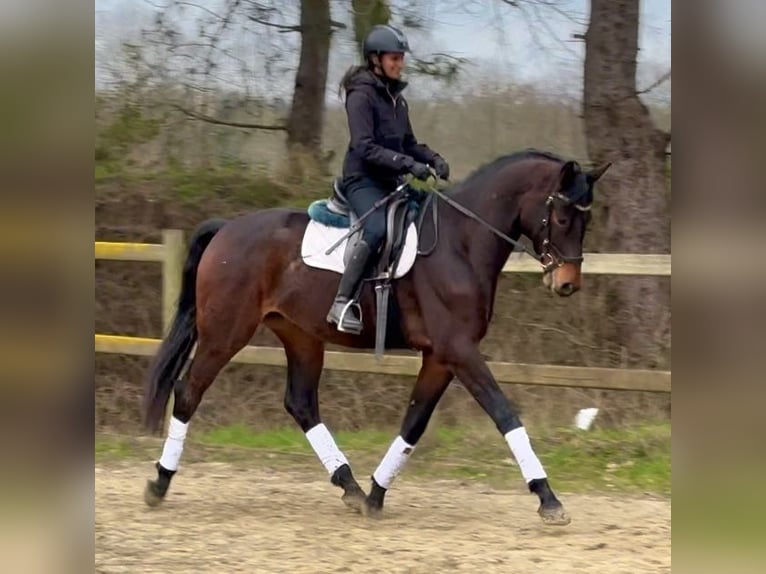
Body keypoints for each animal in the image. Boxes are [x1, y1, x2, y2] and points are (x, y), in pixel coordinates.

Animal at [142, 147, 612, 528]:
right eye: (563, 215)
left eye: (587, 219)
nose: (567, 284)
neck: (460, 243)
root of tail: (227, 229)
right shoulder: (459, 351)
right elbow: (504, 414)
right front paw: (548, 498)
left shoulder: (440, 357)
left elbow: (414, 423)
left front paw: (375, 495)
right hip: (225, 333)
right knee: (188, 391)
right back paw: (160, 483)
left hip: (301, 336)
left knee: (301, 403)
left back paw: (348, 486)